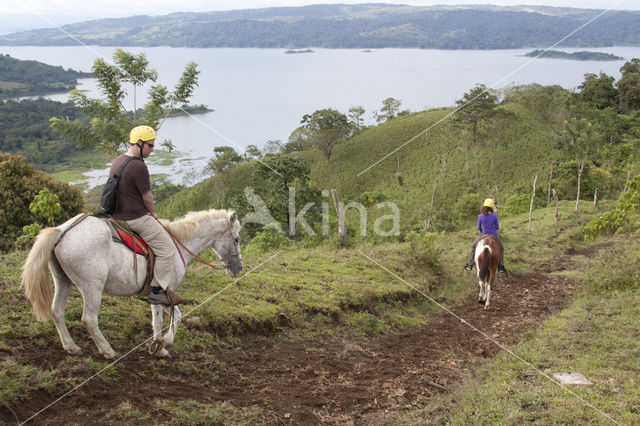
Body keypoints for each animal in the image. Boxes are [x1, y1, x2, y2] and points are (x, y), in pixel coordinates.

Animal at [21, 208, 242, 358]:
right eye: (237, 239)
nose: (238, 268)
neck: (178, 243)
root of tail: (63, 230)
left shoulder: (162, 296)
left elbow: (170, 317)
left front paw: (161, 343)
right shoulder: (163, 291)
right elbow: (165, 320)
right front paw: (161, 345)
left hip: (62, 281)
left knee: (57, 311)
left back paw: (70, 346)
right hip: (92, 287)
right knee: (89, 319)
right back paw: (107, 350)